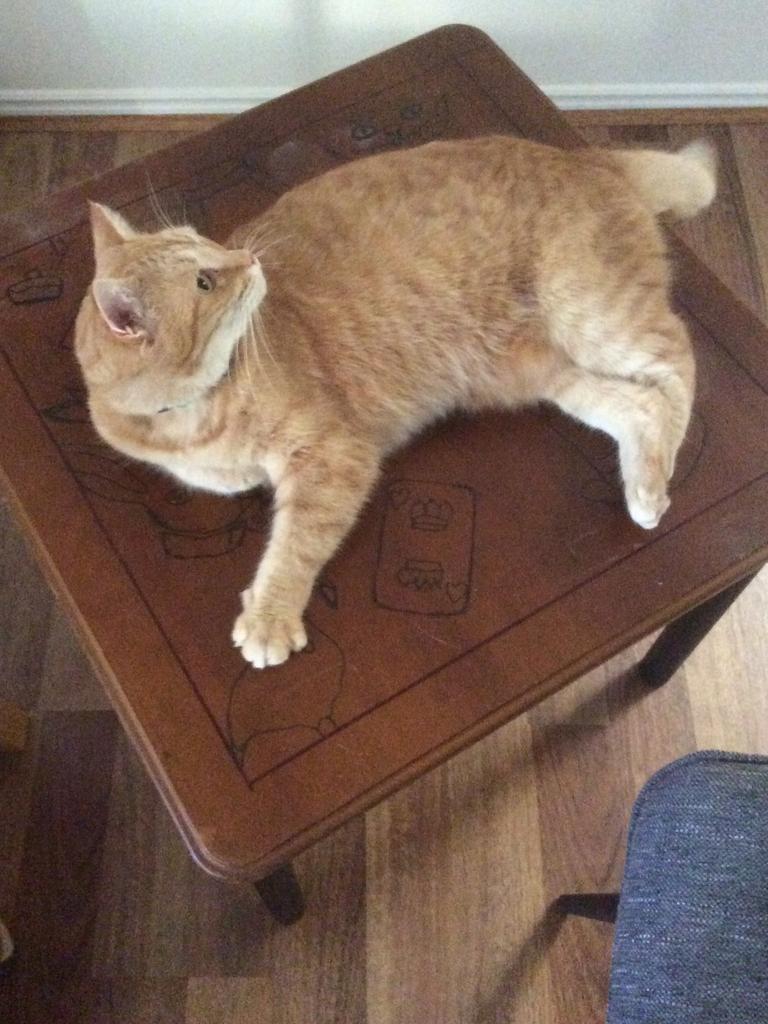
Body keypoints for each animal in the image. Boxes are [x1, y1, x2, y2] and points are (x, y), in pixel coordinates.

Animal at [75, 132, 720, 667]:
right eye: (204, 281)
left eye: (206, 243)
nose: (250, 258)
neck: (195, 416)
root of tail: (585, 157)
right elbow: (228, 485)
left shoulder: (336, 457)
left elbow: (295, 544)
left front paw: (269, 616)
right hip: (537, 371)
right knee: (639, 405)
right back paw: (641, 482)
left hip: (595, 316)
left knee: (678, 358)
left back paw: (655, 487)